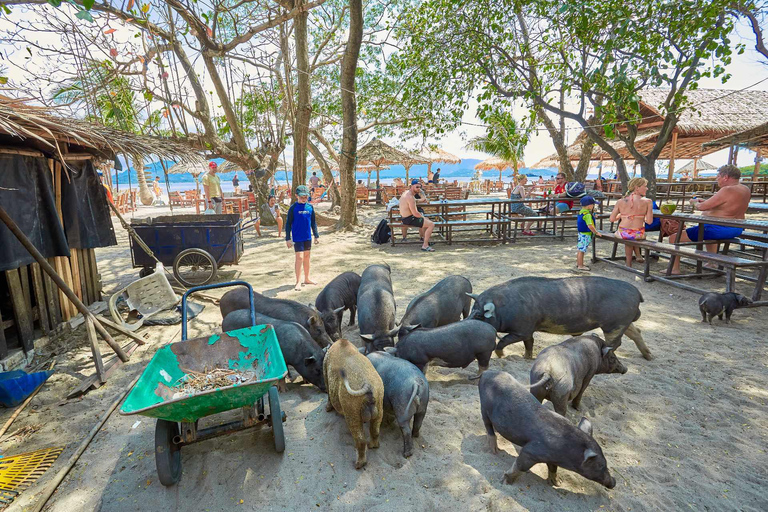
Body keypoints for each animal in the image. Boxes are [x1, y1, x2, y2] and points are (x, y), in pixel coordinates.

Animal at [324, 338, 384, 469]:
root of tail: (368, 386)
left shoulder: (325, 375)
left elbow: (328, 394)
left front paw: (328, 408)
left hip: (352, 410)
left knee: (360, 439)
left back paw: (359, 464)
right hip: (379, 397)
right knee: (375, 429)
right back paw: (374, 446)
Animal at [468, 276, 652, 361]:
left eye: (479, 314)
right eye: (471, 310)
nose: (465, 322)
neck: (504, 307)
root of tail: (637, 293)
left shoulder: (521, 329)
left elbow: (504, 341)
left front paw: (501, 355)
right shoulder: (529, 330)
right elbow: (529, 343)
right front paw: (527, 358)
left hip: (613, 324)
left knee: (615, 342)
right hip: (623, 322)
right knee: (636, 332)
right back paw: (649, 357)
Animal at [479, 370, 616, 489]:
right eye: (600, 465)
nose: (614, 482)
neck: (566, 448)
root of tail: (486, 372)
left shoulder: (553, 458)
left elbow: (553, 468)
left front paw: (557, 483)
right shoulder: (532, 451)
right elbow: (520, 465)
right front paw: (504, 482)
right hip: (483, 407)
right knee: (487, 425)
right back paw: (494, 450)